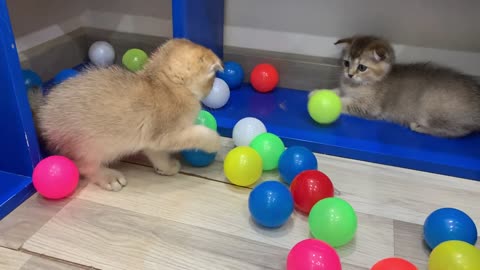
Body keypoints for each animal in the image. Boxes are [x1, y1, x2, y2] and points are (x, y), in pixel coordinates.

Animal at [29, 39, 223, 191]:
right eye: (213, 80)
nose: (212, 89)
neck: (166, 85)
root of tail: (43, 115)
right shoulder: (165, 134)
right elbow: (199, 133)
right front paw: (214, 142)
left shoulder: (151, 141)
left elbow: (157, 155)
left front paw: (166, 167)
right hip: (94, 146)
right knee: (83, 165)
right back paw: (108, 177)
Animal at [312, 35, 480, 138]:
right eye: (346, 63)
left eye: (362, 67)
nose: (349, 74)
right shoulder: (346, 89)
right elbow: (336, 91)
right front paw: (317, 92)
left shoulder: (369, 107)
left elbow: (344, 102)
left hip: (433, 107)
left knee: (458, 131)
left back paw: (419, 127)